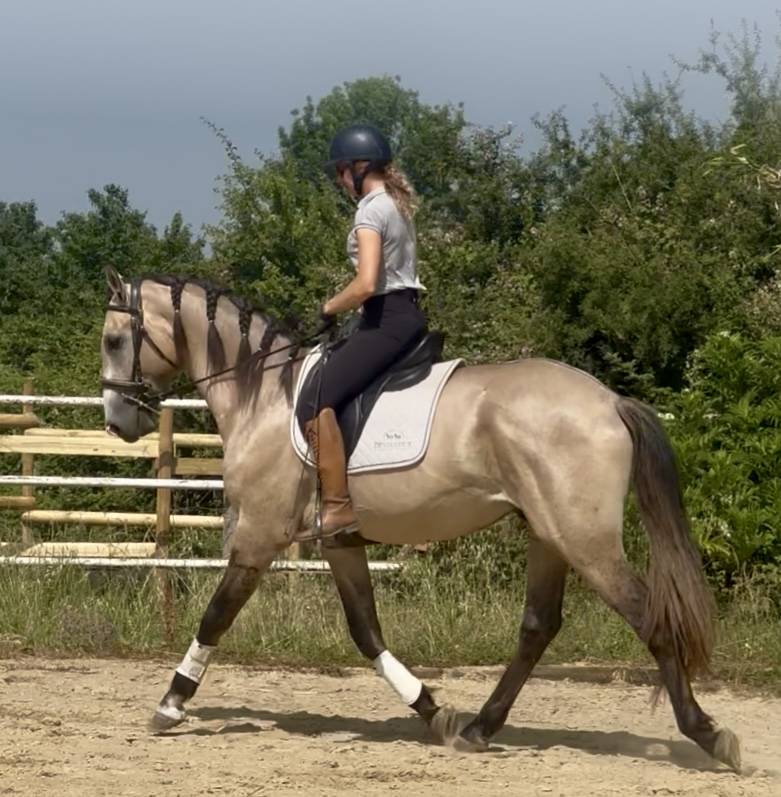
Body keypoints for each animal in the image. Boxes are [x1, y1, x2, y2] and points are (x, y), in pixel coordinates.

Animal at [100, 268, 740, 771]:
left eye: (112, 339)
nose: (117, 422)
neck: (265, 396)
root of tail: (609, 401)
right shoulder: (340, 543)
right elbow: (366, 631)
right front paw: (432, 711)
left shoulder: (258, 537)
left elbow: (216, 615)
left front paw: (170, 703)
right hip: (549, 535)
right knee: (538, 626)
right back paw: (478, 729)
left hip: (585, 540)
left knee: (648, 617)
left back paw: (709, 735)